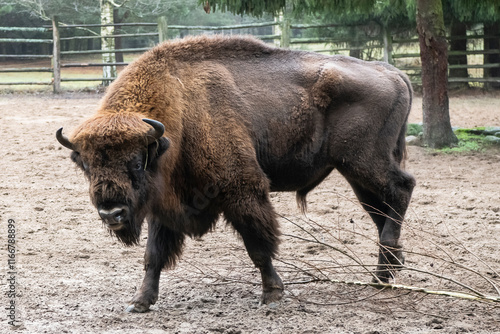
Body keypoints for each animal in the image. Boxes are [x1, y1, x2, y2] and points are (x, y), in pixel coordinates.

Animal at [56, 35, 416, 312]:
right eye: (86, 164)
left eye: (135, 161)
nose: (111, 213)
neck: (180, 111)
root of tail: (393, 72)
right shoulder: (166, 204)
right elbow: (153, 256)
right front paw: (140, 302)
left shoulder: (242, 190)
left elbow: (258, 245)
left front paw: (272, 294)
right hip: (355, 172)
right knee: (380, 209)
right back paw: (388, 269)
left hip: (363, 162)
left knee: (401, 189)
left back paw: (382, 274)